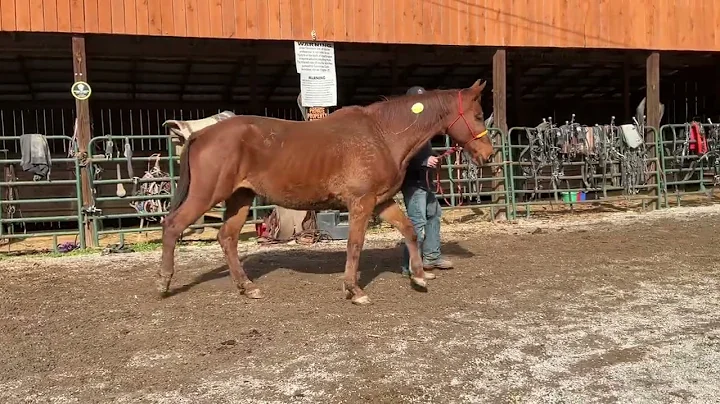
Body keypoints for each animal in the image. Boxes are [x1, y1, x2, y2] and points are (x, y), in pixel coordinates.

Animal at [158, 79, 495, 305]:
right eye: (478, 115)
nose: (488, 155)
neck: (382, 135)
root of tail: (202, 134)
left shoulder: (381, 201)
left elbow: (410, 231)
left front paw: (420, 277)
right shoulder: (361, 203)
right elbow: (355, 244)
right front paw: (354, 290)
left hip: (240, 197)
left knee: (226, 237)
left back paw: (247, 286)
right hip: (206, 195)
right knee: (172, 225)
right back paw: (164, 282)